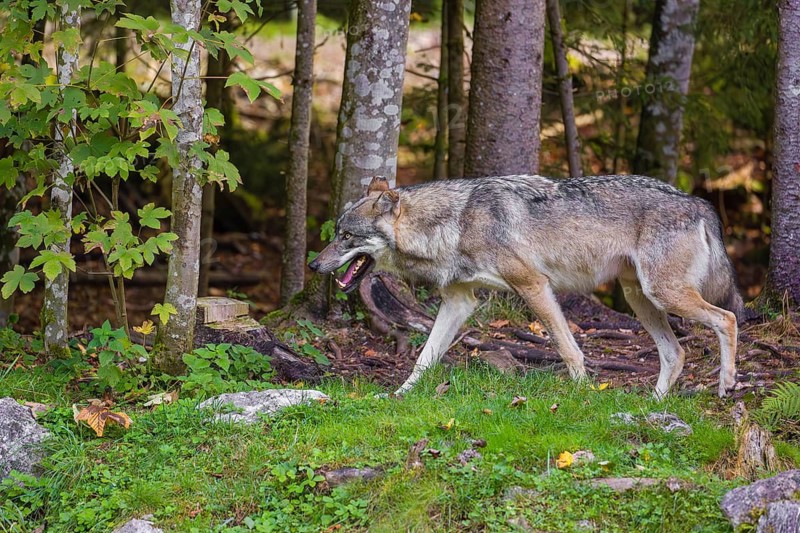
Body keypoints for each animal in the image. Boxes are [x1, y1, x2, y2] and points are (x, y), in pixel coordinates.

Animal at [309, 174, 743, 398]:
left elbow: (567, 348)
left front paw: (582, 393)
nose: (314, 264)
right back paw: (652, 405)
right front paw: (399, 396)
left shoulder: (533, 284)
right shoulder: (459, 302)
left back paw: (726, 383)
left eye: (346, 237)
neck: (454, 223)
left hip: (662, 294)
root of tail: (697, 201)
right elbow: (425, 357)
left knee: (727, 318)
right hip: (641, 298)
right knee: (675, 353)